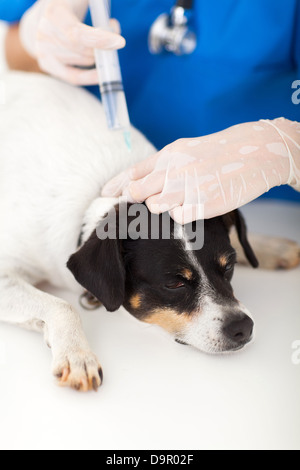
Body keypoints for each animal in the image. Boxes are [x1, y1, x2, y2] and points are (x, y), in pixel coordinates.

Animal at [0, 71, 300, 392]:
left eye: (228, 266)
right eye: (174, 284)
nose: (243, 327)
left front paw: (268, 247)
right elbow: (62, 306)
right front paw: (76, 354)